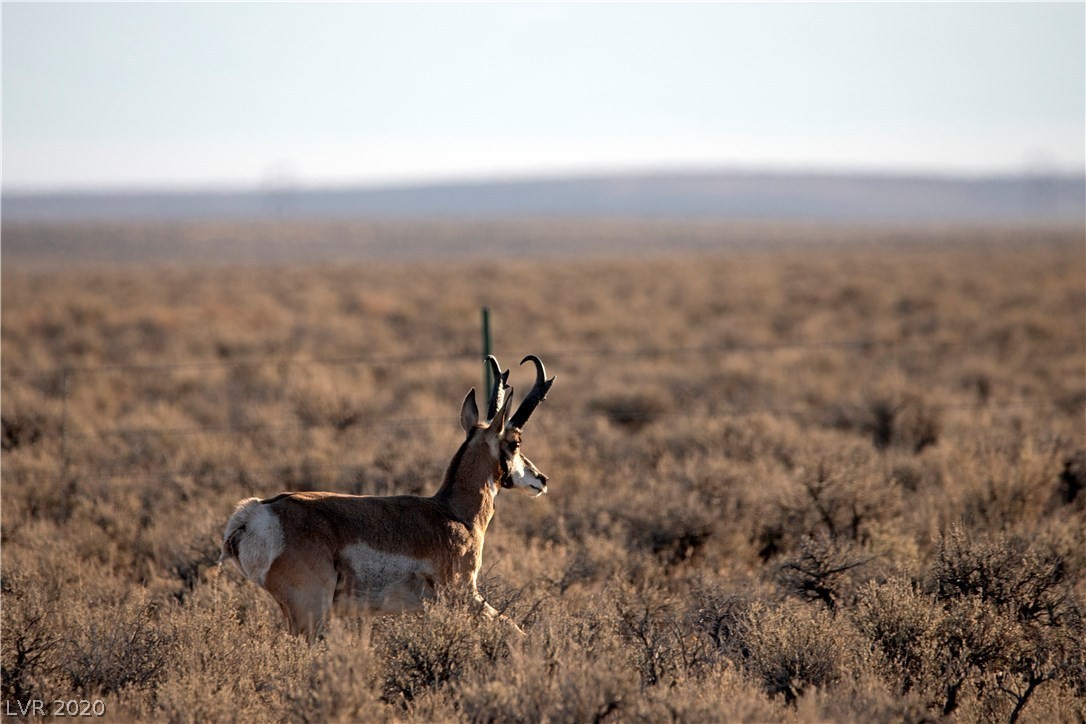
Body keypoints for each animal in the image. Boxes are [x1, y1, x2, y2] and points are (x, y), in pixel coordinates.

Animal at [222, 353, 560, 638]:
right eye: (515, 442)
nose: (541, 479)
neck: (453, 513)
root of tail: (255, 512)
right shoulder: (465, 594)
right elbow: (513, 628)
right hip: (310, 612)